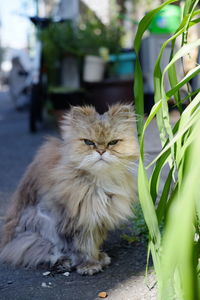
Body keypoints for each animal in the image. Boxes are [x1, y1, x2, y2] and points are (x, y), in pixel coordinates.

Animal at [0, 103, 139, 274]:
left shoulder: (97, 217)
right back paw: (63, 262)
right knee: (41, 251)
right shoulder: (75, 220)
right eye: (88, 142)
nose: (101, 151)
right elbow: (82, 246)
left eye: (113, 142)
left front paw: (99, 258)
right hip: (38, 223)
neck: (99, 181)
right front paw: (89, 265)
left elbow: (94, 241)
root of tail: (6, 241)